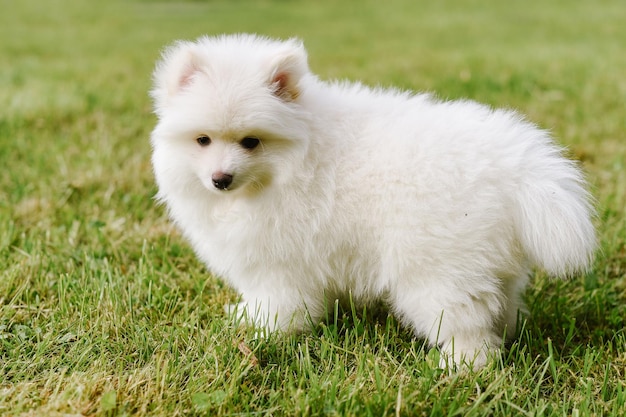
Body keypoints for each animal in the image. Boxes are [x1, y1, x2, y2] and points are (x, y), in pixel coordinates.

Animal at [149, 35, 592, 368]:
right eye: (202, 140)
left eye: (250, 141)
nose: (220, 179)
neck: (294, 159)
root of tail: (512, 166)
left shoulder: (279, 262)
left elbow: (279, 303)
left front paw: (264, 330)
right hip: (492, 264)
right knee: (503, 308)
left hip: (437, 270)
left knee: (465, 325)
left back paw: (460, 366)